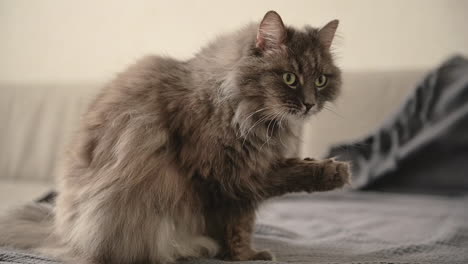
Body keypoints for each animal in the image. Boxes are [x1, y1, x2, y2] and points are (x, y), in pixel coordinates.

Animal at [0, 10, 350, 264]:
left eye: (320, 80)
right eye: (290, 78)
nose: (309, 104)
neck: (240, 107)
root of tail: (63, 235)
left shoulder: (242, 175)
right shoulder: (230, 179)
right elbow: (242, 223)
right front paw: (247, 256)